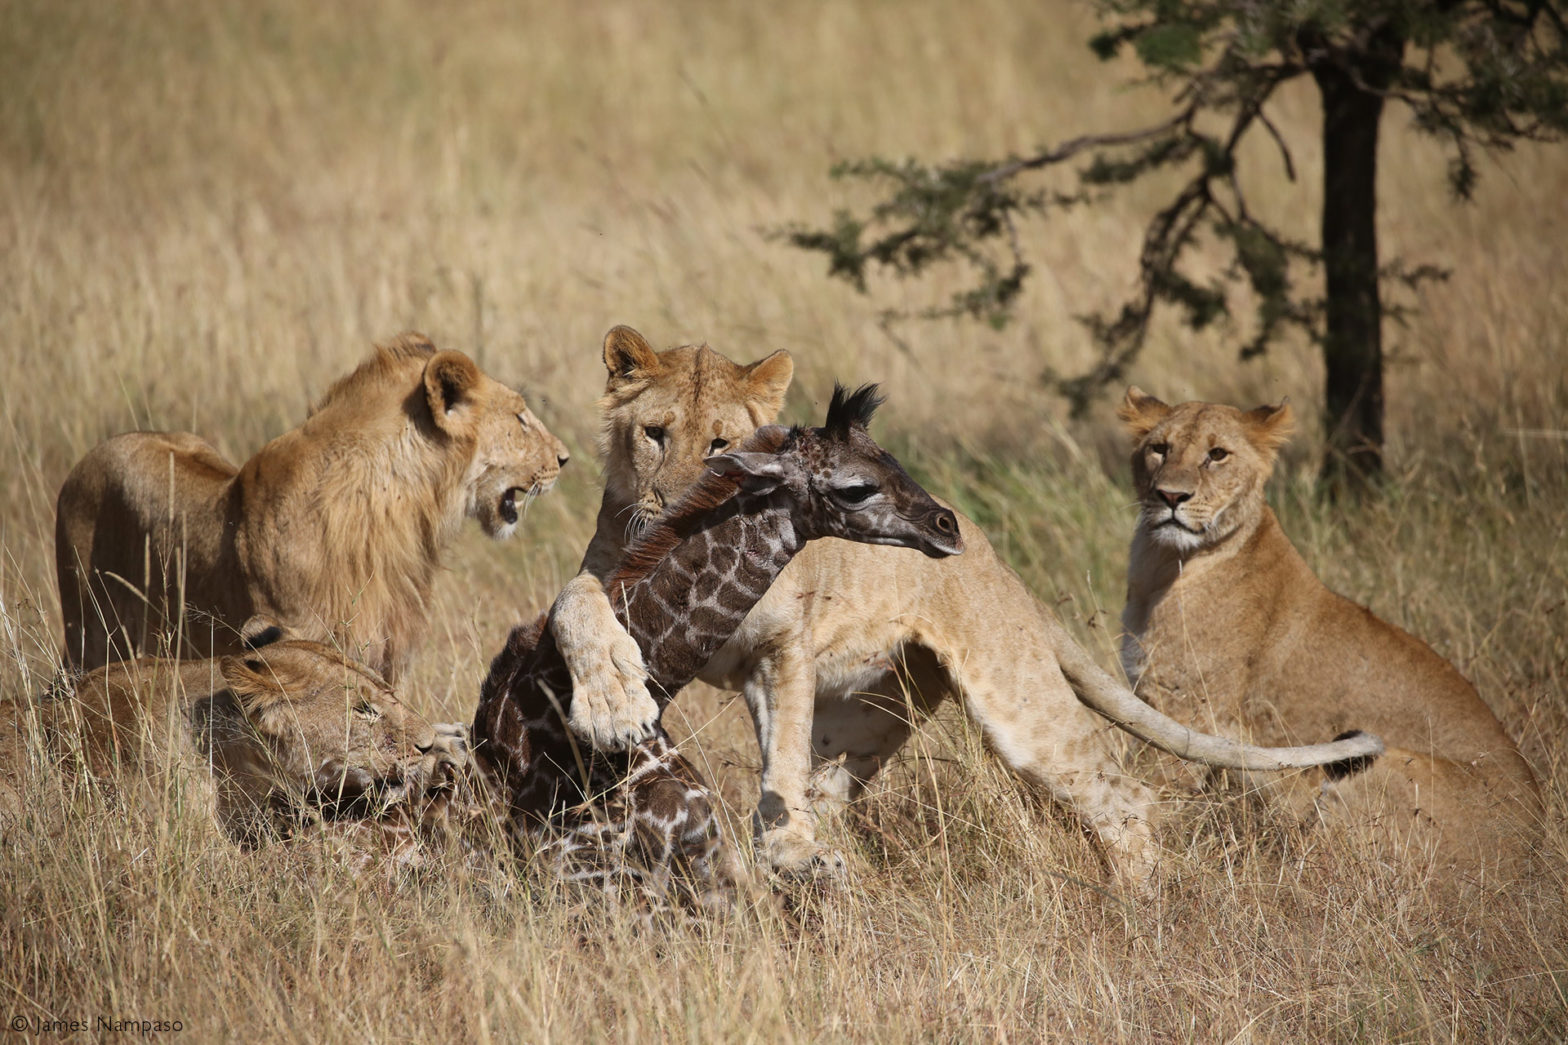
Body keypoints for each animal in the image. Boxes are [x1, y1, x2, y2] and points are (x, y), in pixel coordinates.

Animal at [55, 329, 570, 680]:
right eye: (521, 418)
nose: (564, 458)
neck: (396, 511)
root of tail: (86, 459)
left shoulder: (384, 649)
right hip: (90, 631)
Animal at [545, 326, 1379, 884]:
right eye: (656, 434)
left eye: (721, 442)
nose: (680, 498)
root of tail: (998, 563)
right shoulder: (613, 577)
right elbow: (570, 605)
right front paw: (611, 700)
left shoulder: (785, 644)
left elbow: (779, 754)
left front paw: (782, 845)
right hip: (869, 715)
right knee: (831, 793)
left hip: (1018, 704)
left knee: (1125, 797)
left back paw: (1140, 908)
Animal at [1116, 385, 1542, 872]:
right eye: (1159, 449)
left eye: (1217, 454)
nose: (1171, 496)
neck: (1162, 563)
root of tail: (1534, 849)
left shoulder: (1186, 711)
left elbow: (1150, 791)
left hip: (1378, 762)